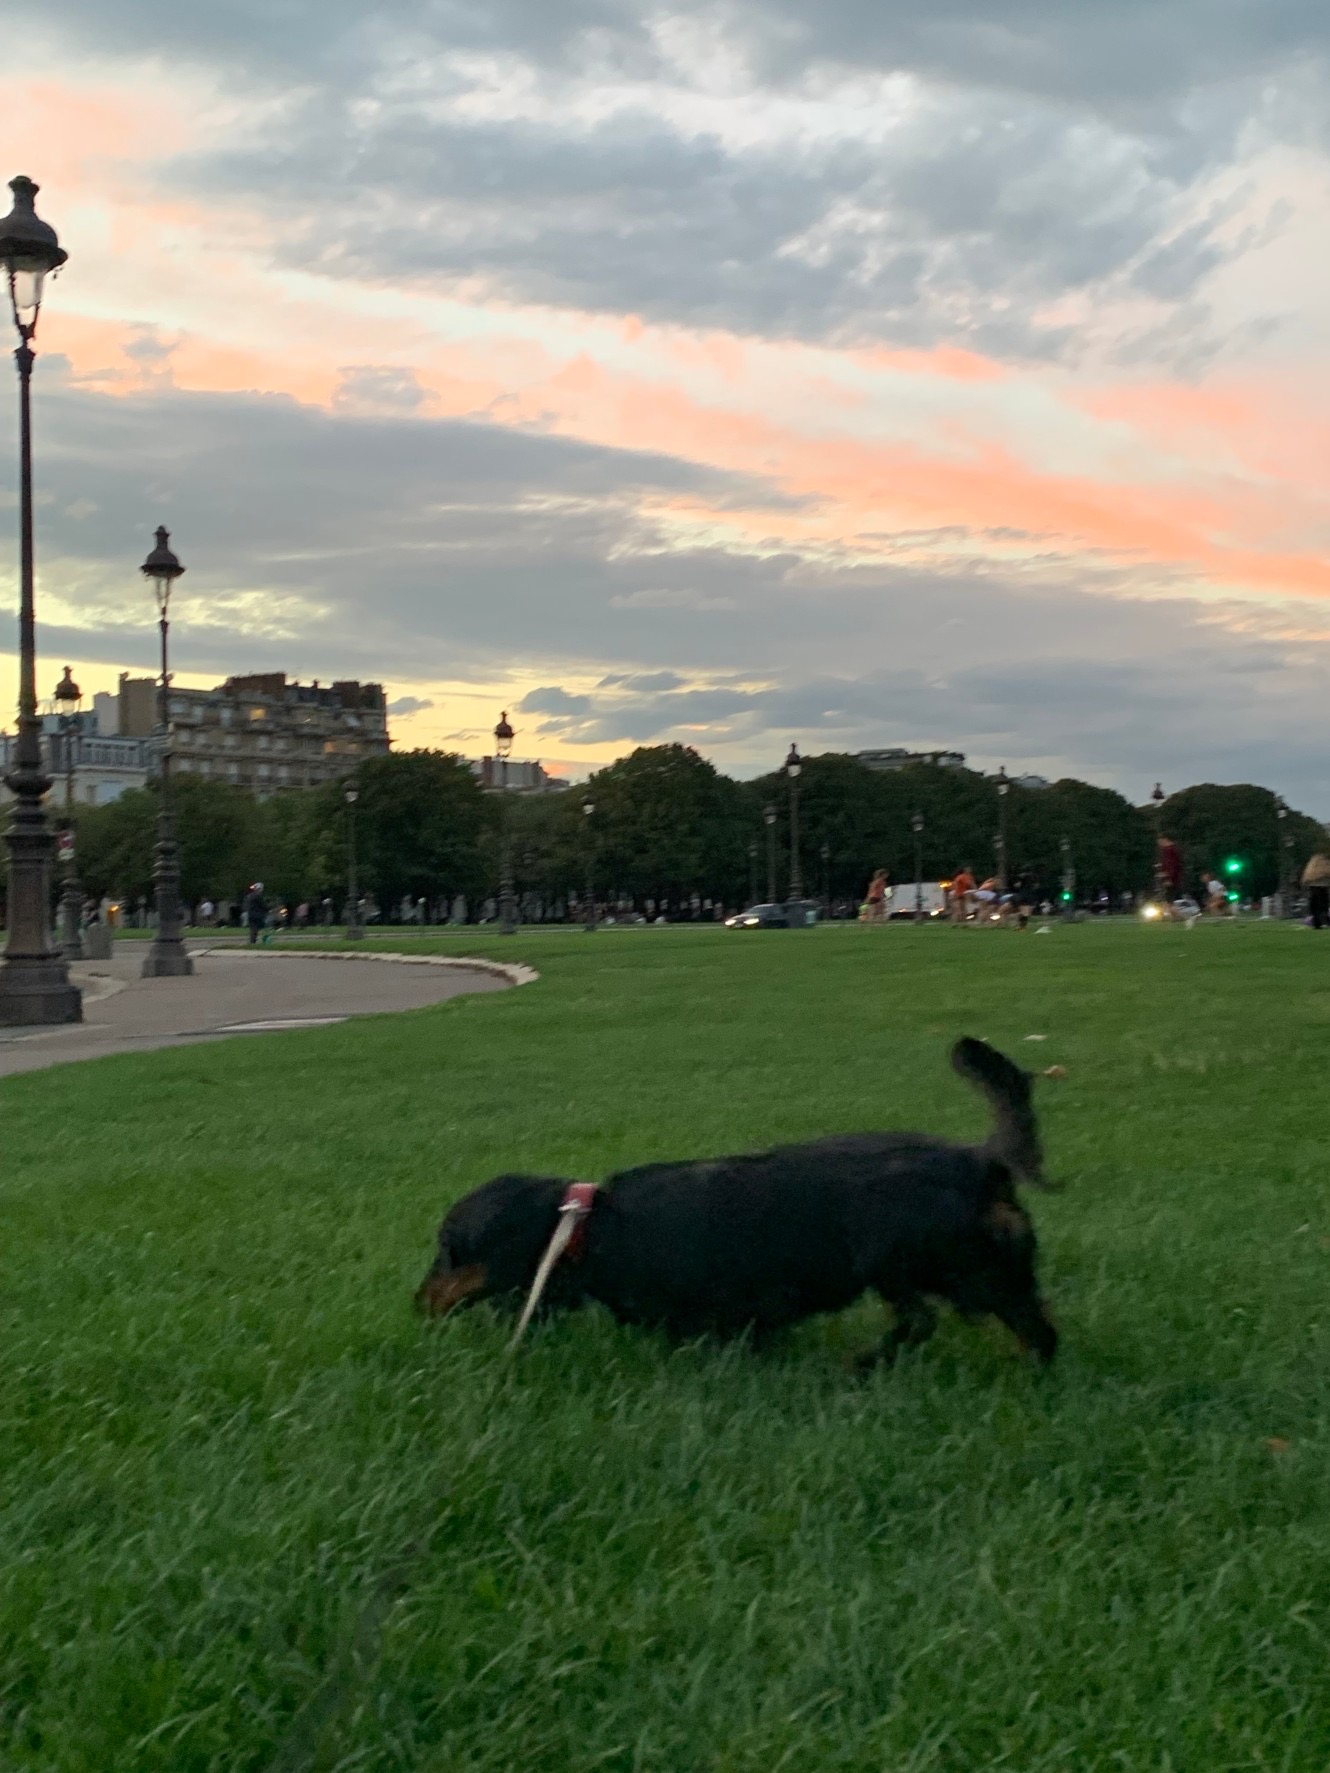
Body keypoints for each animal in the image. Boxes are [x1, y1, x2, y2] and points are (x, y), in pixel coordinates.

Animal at [416, 1035, 1064, 1361]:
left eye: (449, 1250)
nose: (417, 1305)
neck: (592, 1226)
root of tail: (981, 1160)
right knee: (1036, 1327)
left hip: (902, 1255)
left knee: (925, 1318)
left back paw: (867, 1363)